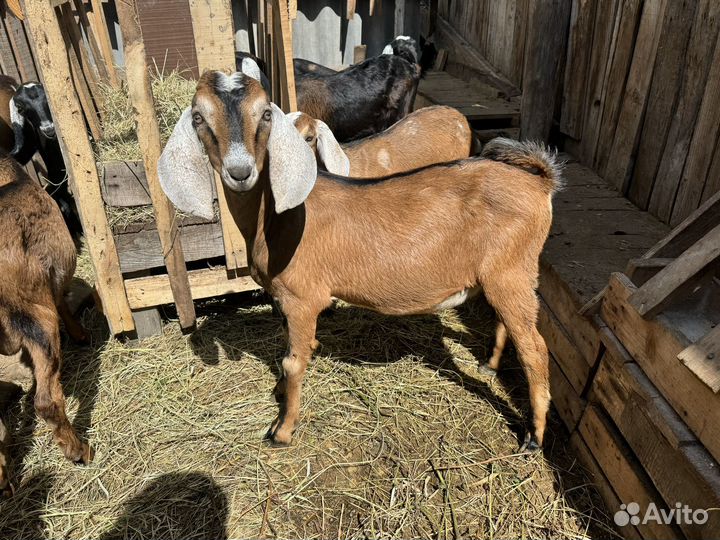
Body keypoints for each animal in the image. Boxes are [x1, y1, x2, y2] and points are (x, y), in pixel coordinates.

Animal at [0, 151, 93, 495]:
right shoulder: (52, 285)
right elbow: (63, 303)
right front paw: (81, 334)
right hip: (37, 318)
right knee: (45, 401)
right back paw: (79, 450)